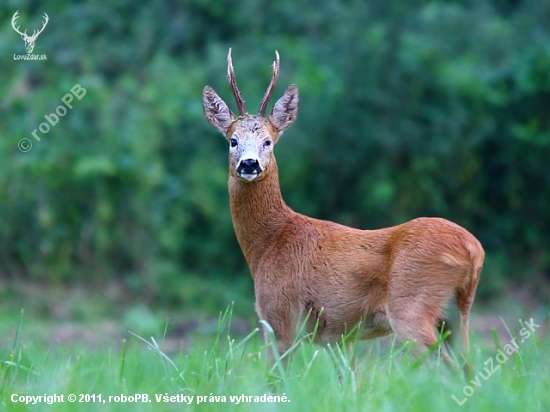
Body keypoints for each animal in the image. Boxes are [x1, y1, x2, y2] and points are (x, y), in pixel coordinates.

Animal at [204, 49, 488, 366]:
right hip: (457, 312)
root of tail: (472, 250)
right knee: (467, 364)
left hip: (412, 307)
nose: (249, 164)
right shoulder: (339, 337)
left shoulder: (278, 315)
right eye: (233, 140)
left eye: (268, 141)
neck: (268, 244)